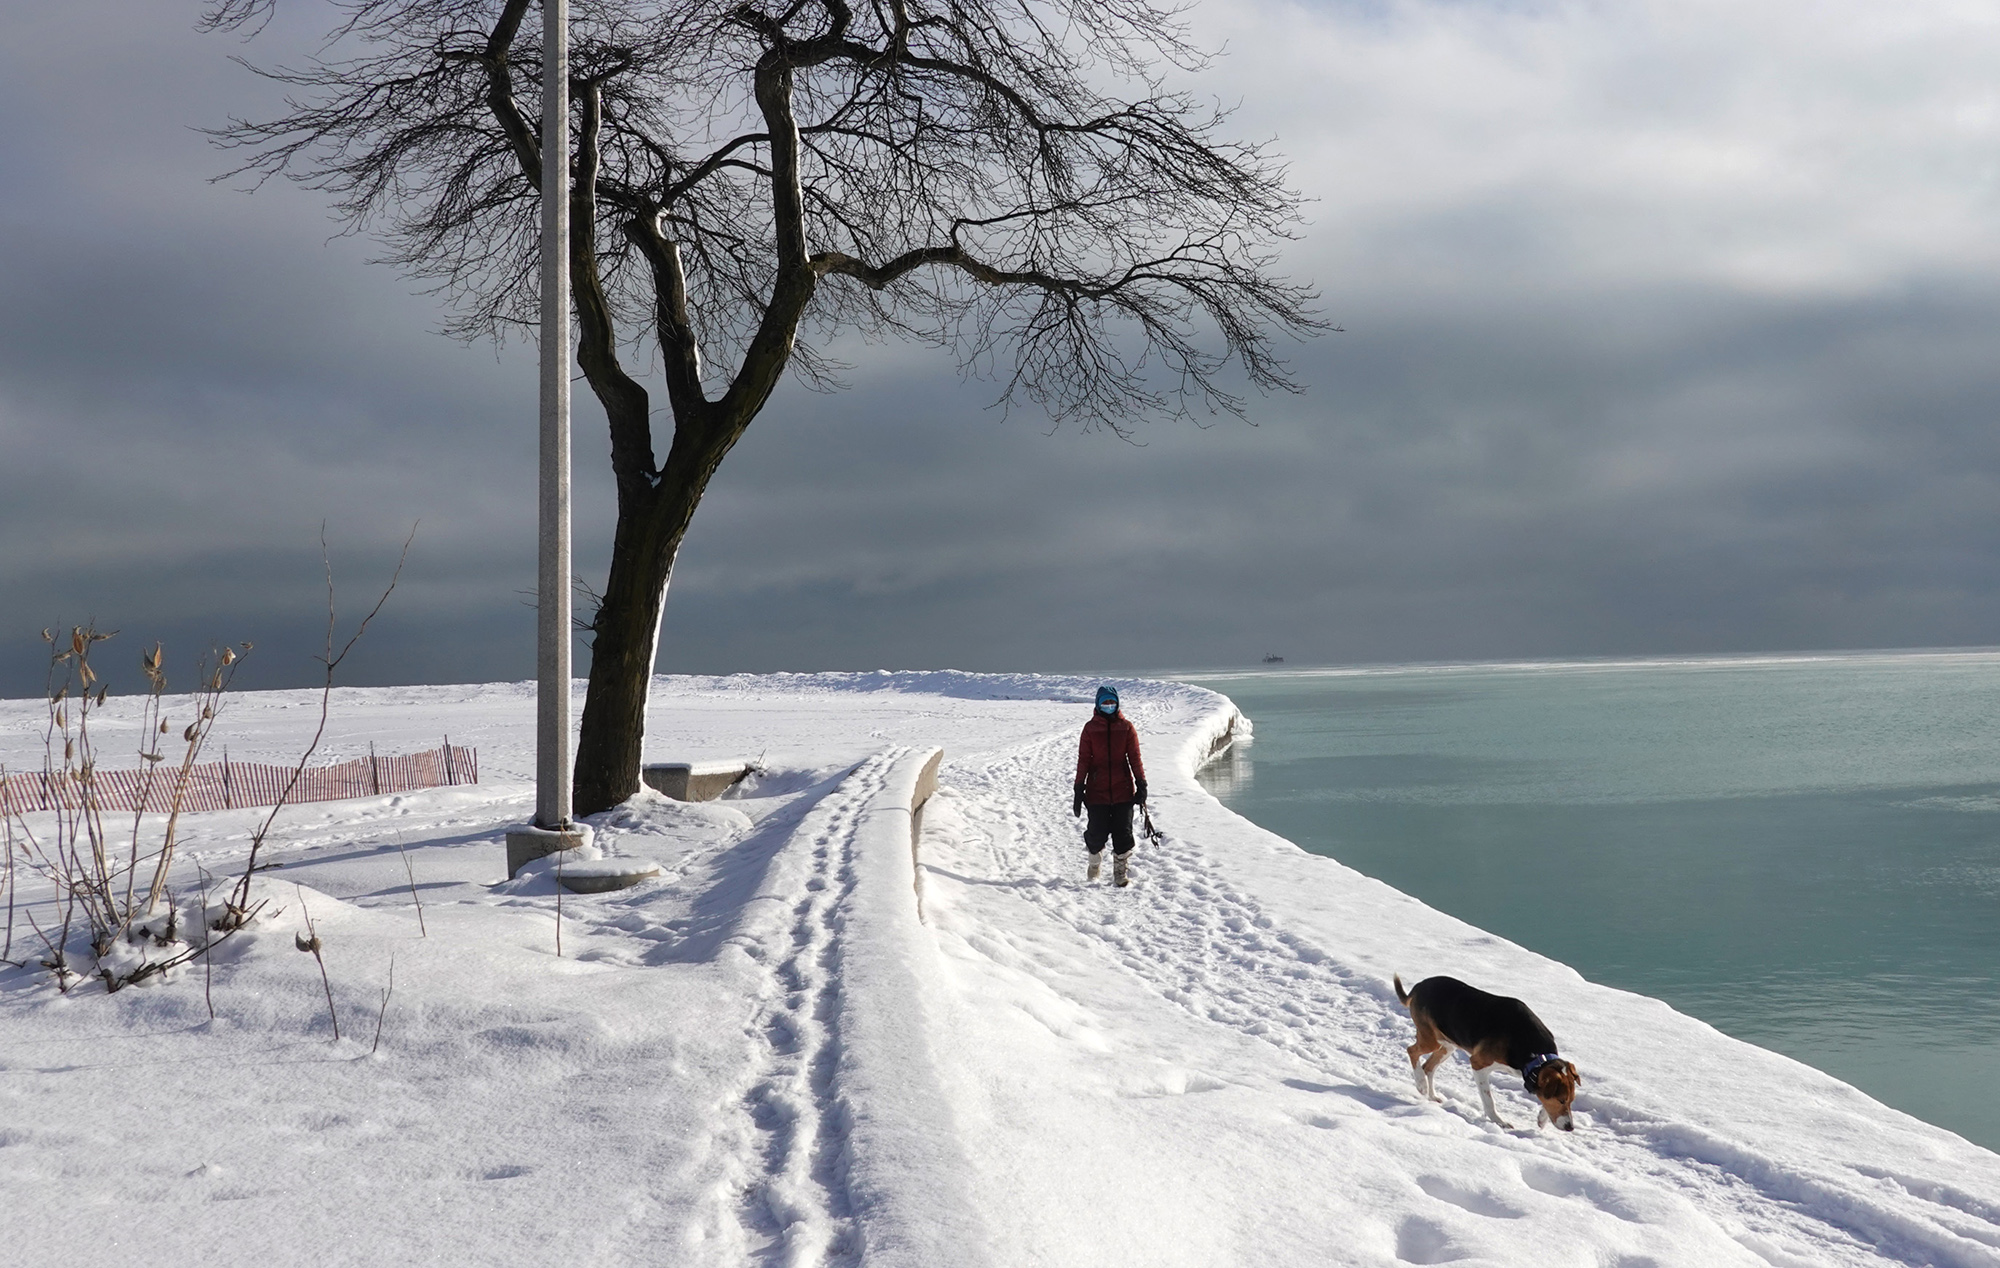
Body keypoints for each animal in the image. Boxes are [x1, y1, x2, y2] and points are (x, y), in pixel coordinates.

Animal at [1400, 968, 1584, 1128]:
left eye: (1571, 1100)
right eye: (1561, 1100)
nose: (1569, 1127)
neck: (1537, 1055)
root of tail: (1418, 986)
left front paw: (1541, 1119)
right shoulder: (1478, 1064)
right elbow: (1489, 1101)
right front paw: (1499, 1122)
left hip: (1447, 1046)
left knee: (1428, 1067)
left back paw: (1431, 1095)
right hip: (1431, 1040)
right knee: (1412, 1051)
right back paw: (1421, 1085)